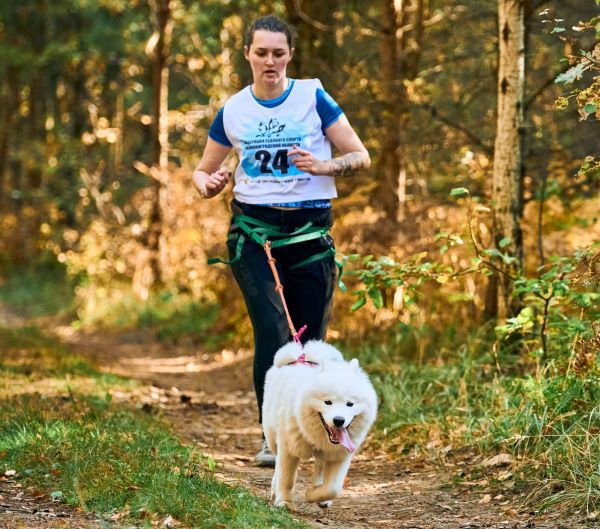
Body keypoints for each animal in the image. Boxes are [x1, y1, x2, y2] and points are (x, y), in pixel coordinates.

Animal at [262, 338, 376, 508]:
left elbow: (333, 488)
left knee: (320, 466)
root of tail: (298, 357)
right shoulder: (289, 446)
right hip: (272, 437)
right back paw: (275, 489)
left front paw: (313, 494)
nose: (339, 420)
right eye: (327, 402)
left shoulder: (340, 455)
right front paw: (284, 502)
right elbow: (286, 477)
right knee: (277, 464)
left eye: (350, 404)